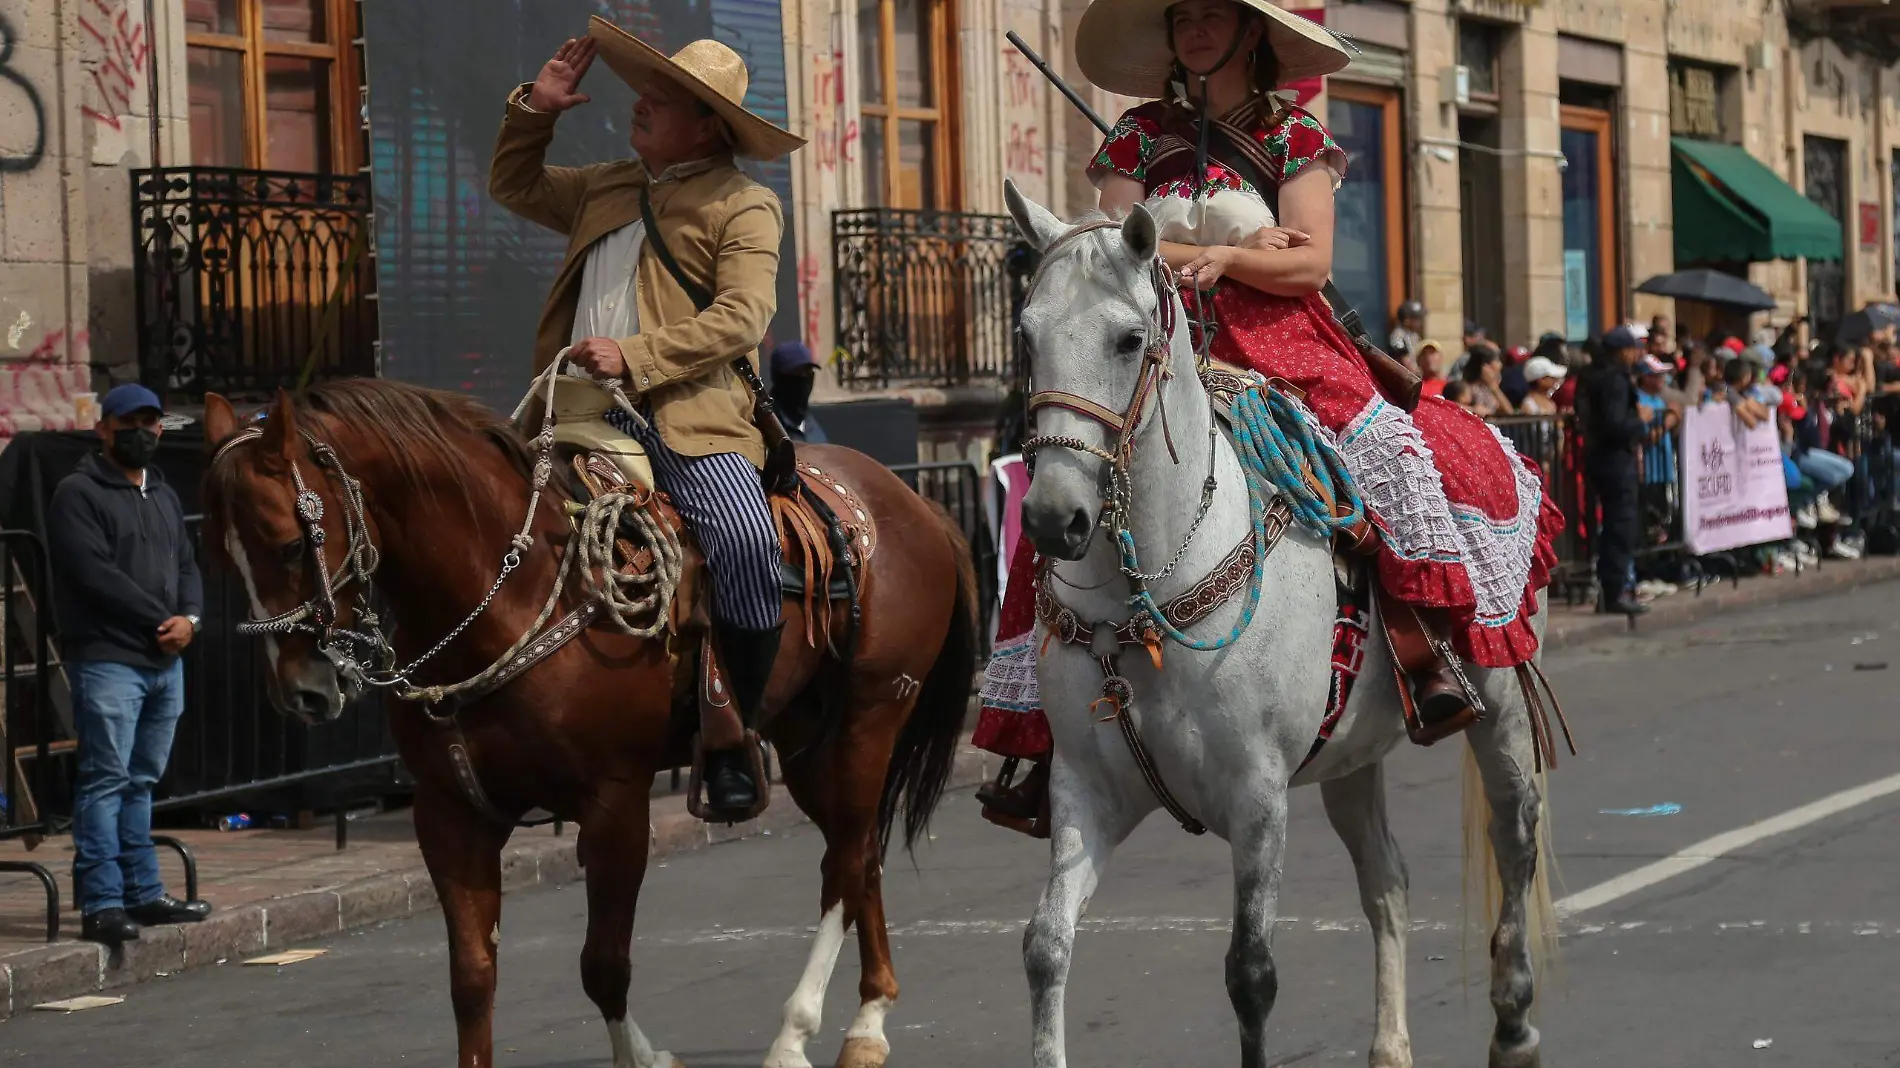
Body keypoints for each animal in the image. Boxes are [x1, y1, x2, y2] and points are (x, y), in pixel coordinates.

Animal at [202, 381, 980, 1064]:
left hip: (870, 718)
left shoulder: (615, 805)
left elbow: (602, 965)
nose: (302, 691)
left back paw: (799, 1034)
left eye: (290, 543)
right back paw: (867, 1019)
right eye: (221, 557)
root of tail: (911, 499)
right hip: (807, 737)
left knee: (846, 862)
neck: (505, 599)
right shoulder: (449, 814)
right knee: (857, 858)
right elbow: (472, 976)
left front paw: (647, 1056)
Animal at [1010, 180, 1558, 1064]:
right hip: (1350, 753)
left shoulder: (1258, 796)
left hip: (1499, 701)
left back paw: (1513, 1023)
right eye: (1026, 336)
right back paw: (1390, 1046)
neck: (1145, 605)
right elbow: (1046, 946)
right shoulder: (1085, 792)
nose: (1055, 519)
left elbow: (1251, 973)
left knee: (1515, 834)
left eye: (1128, 339)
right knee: (1388, 881)